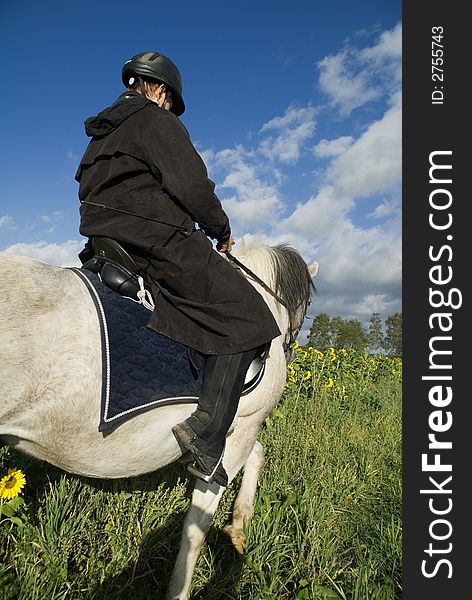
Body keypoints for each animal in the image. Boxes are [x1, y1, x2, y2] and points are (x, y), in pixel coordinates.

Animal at [0, 244, 318, 600]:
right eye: (305, 311)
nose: (291, 350)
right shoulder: (241, 430)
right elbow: (198, 523)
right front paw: (182, 586)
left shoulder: (237, 429)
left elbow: (257, 454)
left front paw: (238, 526)